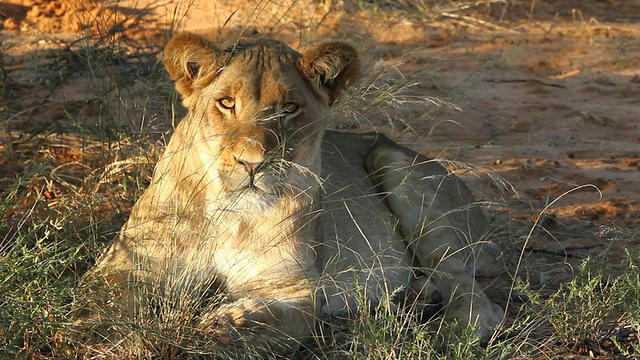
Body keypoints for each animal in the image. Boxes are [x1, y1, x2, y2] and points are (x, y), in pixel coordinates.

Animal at [84, 32, 504, 356]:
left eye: (289, 108)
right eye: (226, 102)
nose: (252, 163)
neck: (225, 211)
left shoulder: (294, 288)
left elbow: (265, 325)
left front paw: (218, 325)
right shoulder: (122, 265)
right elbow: (104, 304)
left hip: (393, 163)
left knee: (477, 301)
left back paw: (443, 332)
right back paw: (413, 296)